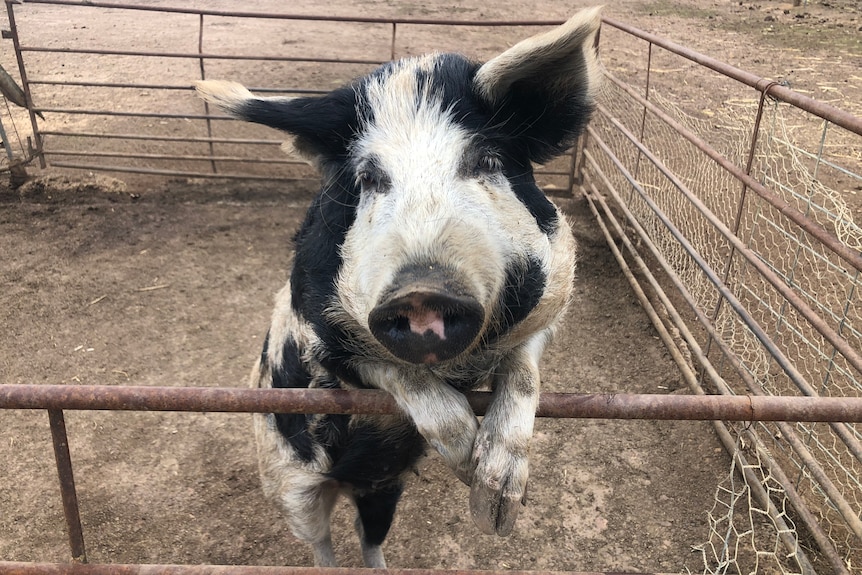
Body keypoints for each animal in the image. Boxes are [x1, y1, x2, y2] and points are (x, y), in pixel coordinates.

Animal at [195, 6, 600, 568]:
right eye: (369, 176)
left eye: (487, 160)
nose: (422, 290)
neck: (457, 367)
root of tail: (350, 484)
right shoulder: (323, 341)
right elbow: (398, 373)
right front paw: (465, 462)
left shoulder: (550, 303)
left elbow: (522, 372)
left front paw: (495, 508)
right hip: (287, 482)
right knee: (319, 541)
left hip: (384, 488)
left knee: (369, 536)